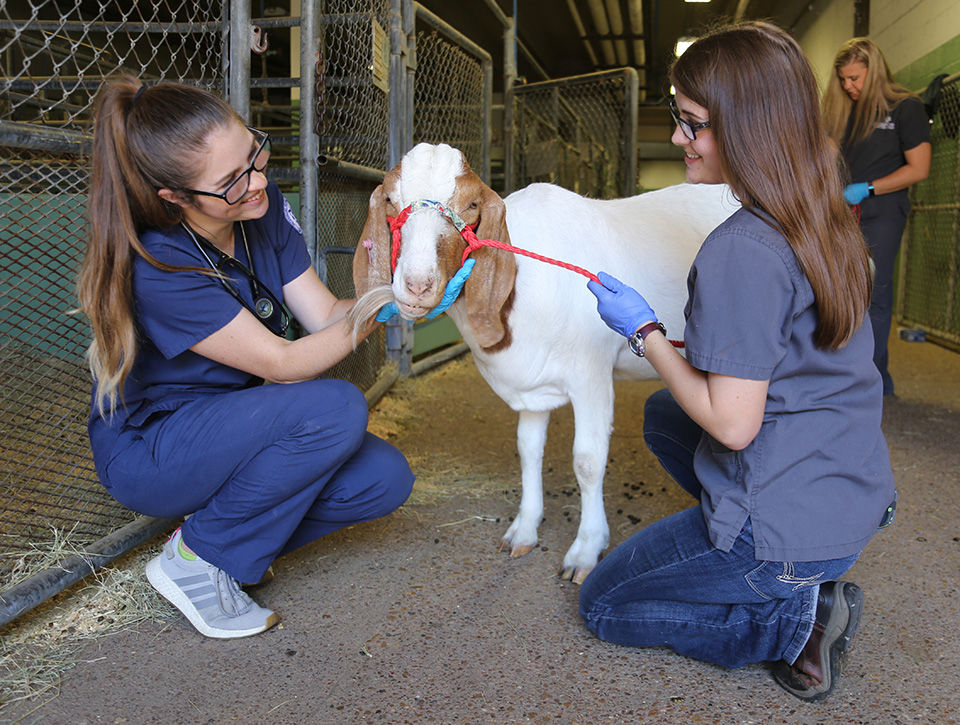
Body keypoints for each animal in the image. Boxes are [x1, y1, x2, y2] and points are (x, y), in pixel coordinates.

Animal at [350, 143, 736, 584]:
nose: (416, 284)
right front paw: (524, 529)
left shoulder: (592, 377)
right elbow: (528, 449)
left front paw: (585, 550)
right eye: (390, 199)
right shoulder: (531, 383)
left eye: (471, 204)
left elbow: (587, 461)